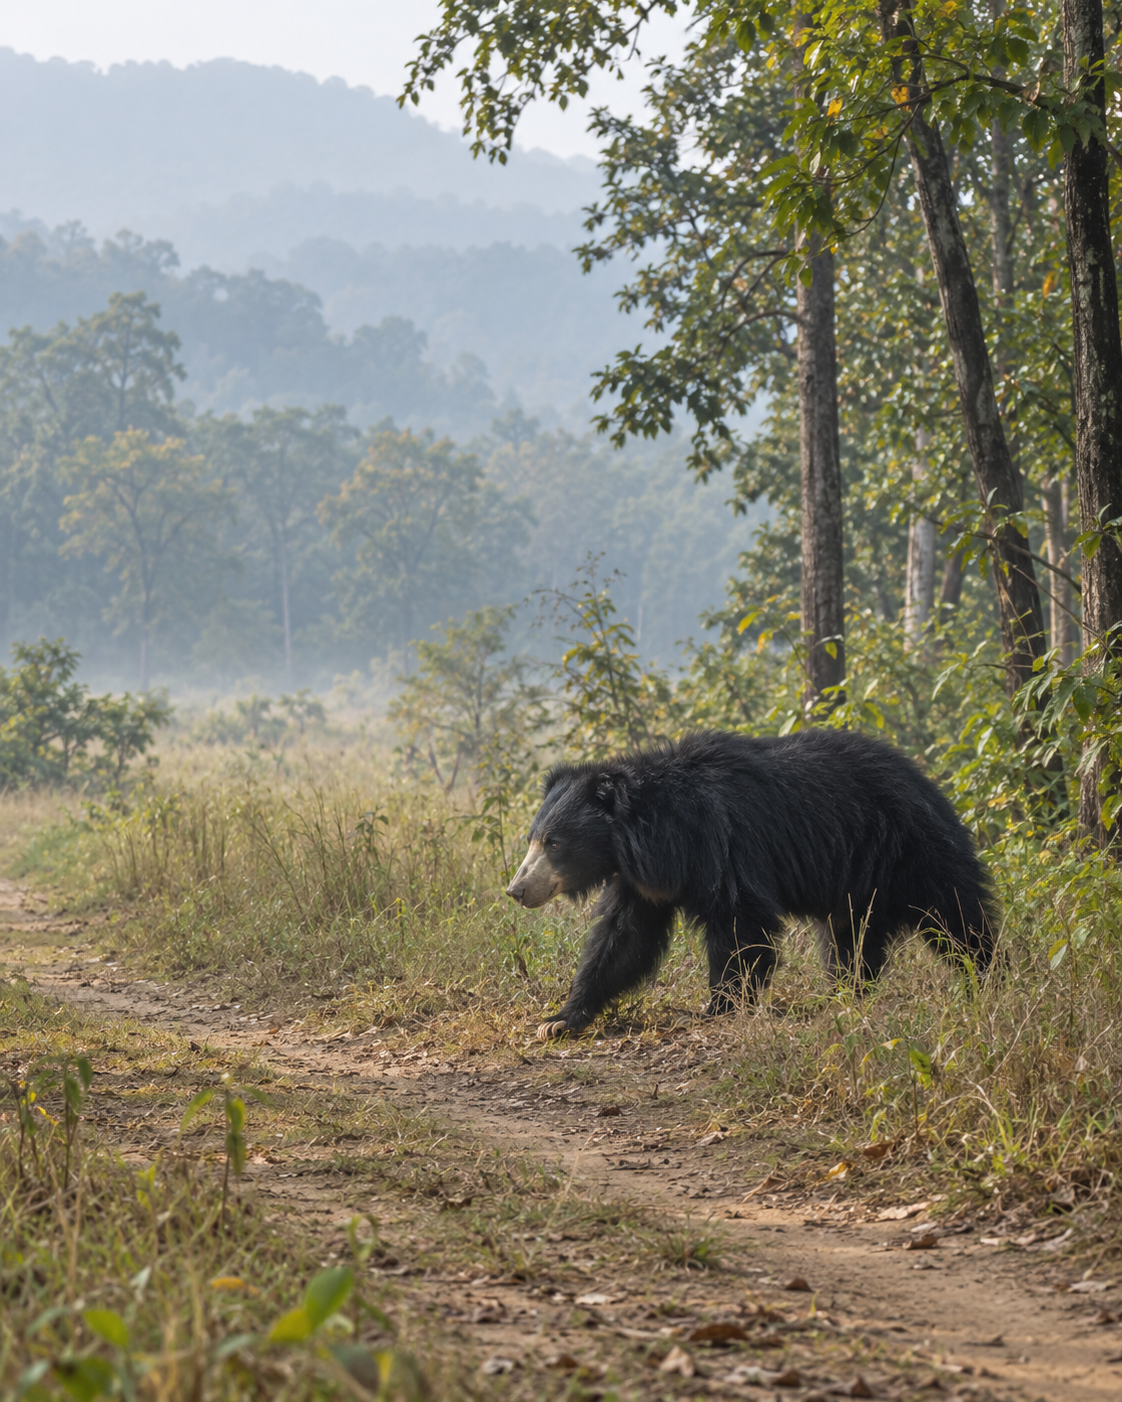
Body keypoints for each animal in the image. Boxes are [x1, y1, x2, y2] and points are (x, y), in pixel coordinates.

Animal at [505, 728, 996, 1040]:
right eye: (532, 838)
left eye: (554, 843)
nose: (516, 890)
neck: (651, 839)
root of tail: (927, 781)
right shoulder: (644, 883)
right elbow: (622, 940)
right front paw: (559, 1020)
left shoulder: (725, 844)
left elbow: (742, 922)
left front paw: (717, 1006)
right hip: (859, 885)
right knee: (850, 941)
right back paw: (845, 995)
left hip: (911, 850)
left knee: (956, 916)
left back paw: (988, 979)